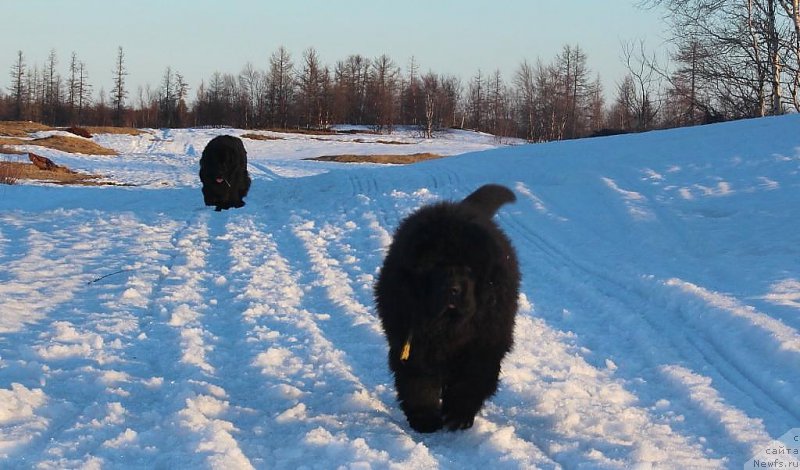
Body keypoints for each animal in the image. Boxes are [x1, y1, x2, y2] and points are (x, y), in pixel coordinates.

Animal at [374, 184, 520, 434]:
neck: (448, 325)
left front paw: (458, 415)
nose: (453, 289)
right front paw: (424, 418)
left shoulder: (485, 341)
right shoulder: (412, 341)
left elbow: (471, 380)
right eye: (436, 266)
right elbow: (418, 382)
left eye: (469, 268)